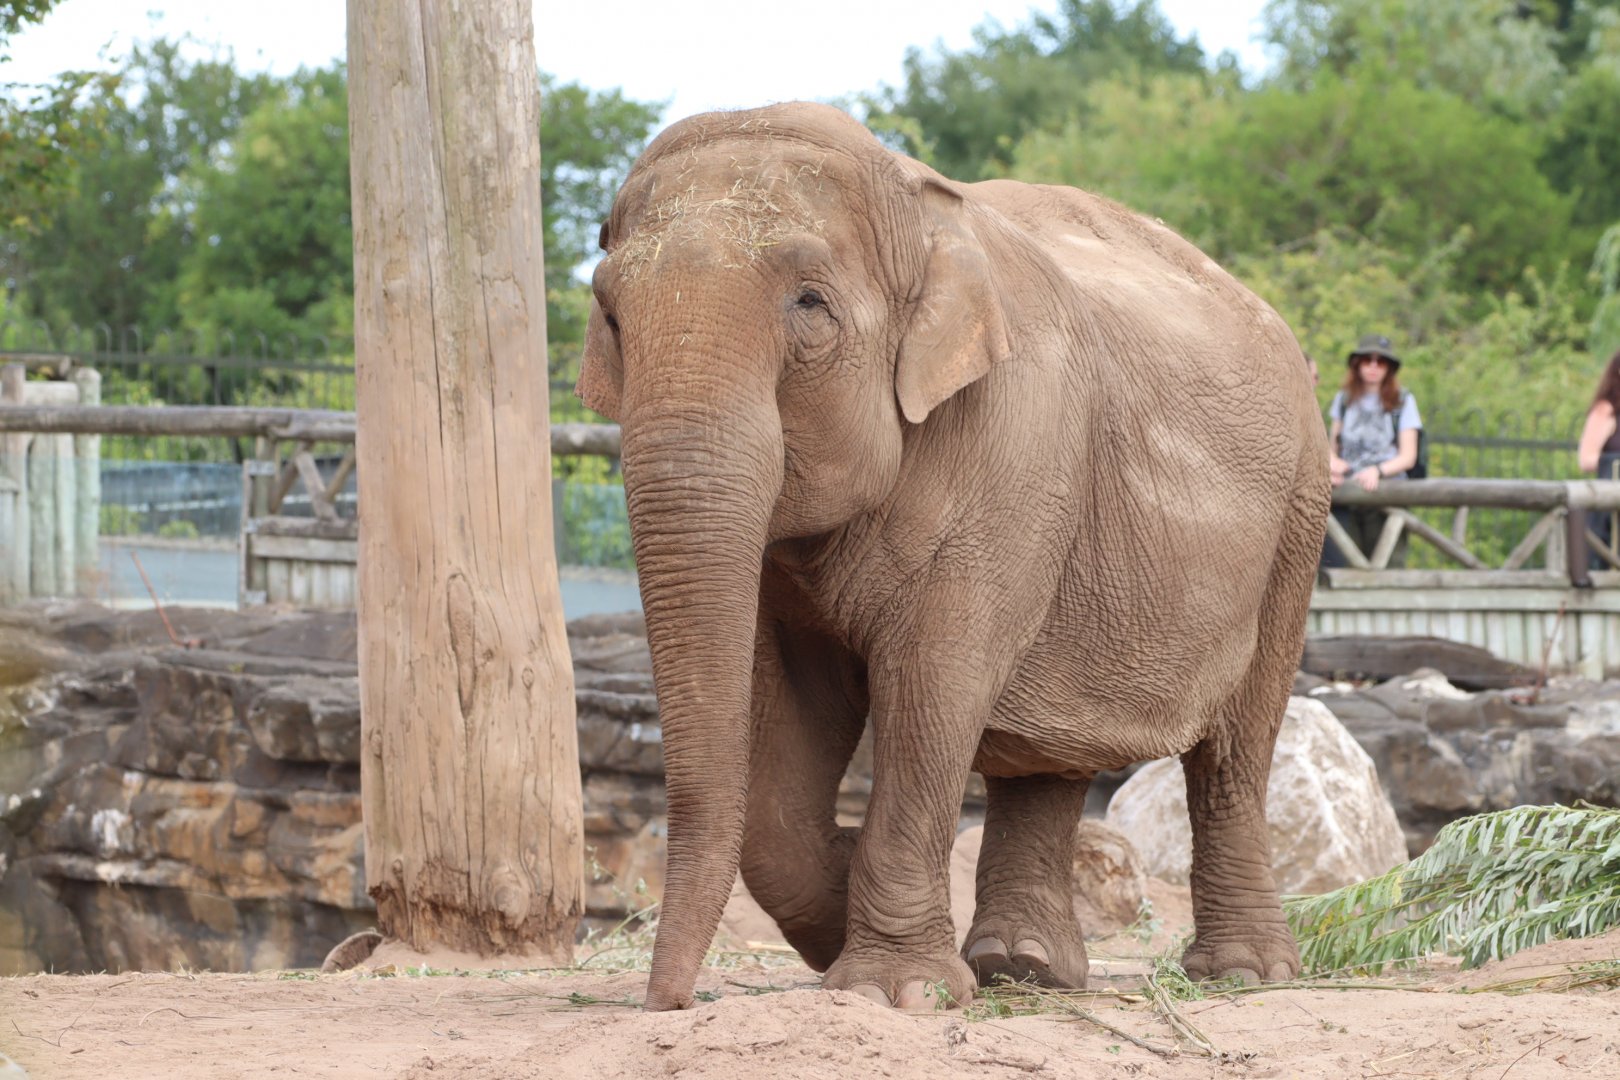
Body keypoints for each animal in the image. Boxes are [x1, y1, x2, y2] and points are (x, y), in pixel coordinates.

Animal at [576, 102, 1330, 1012]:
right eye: (612, 318)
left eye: (810, 303)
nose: (666, 1001)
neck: (918, 206)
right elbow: (790, 707)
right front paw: (850, 924)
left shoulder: (1012, 442)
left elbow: (934, 680)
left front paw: (894, 990)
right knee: (1049, 743)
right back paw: (1022, 968)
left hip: (1299, 516)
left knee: (1234, 747)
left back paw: (1243, 974)